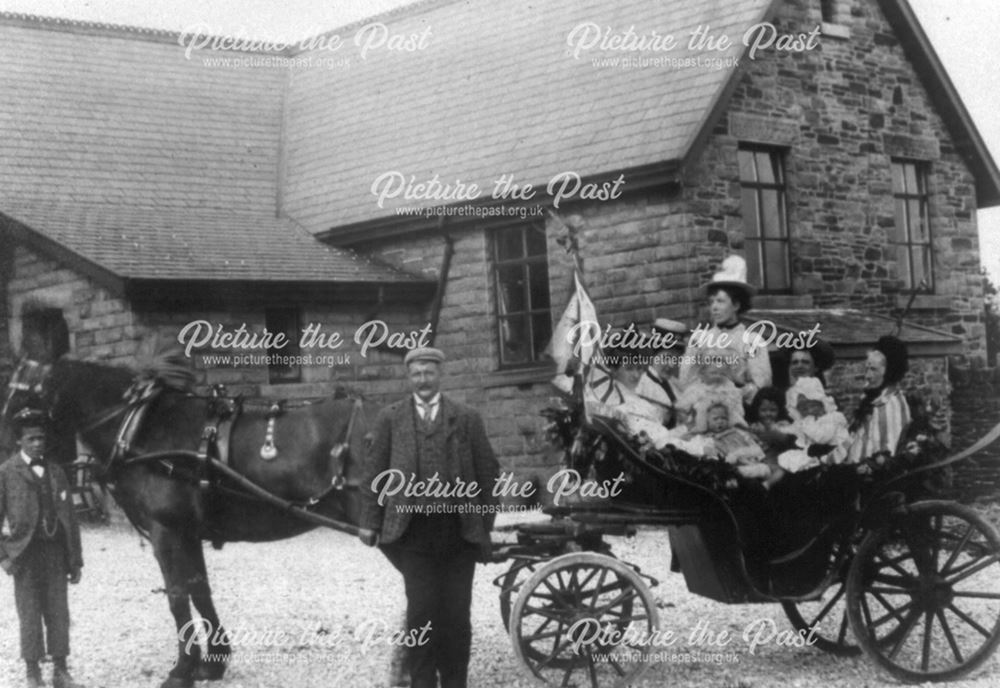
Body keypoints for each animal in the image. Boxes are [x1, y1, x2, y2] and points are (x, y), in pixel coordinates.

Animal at [2, 358, 376, 684]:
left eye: (23, 398)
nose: (11, 449)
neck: (140, 428)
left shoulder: (166, 532)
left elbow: (178, 596)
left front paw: (183, 668)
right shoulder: (188, 533)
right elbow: (200, 590)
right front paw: (213, 662)